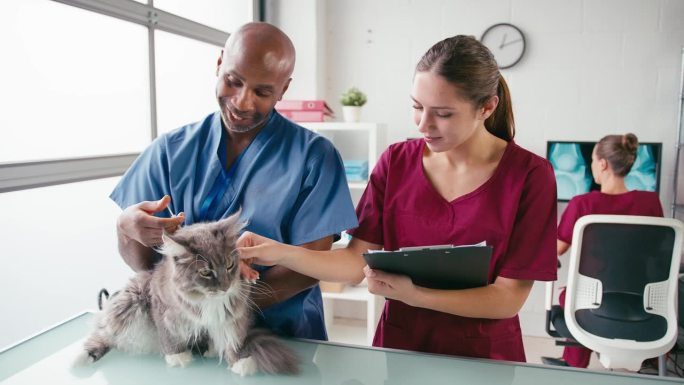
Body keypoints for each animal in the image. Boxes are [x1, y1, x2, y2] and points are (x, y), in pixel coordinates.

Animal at [79, 213, 298, 376]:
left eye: (229, 265)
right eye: (206, 272)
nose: (226, 287)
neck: (207, 298)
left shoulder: (233, 316)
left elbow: (234, 340)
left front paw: (240, 362)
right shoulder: (163, 309)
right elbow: (169, 337)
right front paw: (177, 357)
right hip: (130, 302)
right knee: (104, 332)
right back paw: (83, 356)